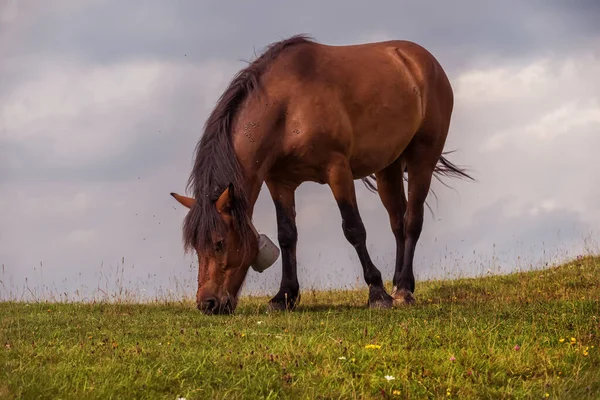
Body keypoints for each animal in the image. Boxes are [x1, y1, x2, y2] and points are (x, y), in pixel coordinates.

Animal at [170, 34, 474, 314]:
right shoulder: (280, 182)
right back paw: (400, 282)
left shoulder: (337, 170)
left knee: (412, 221)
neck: (288, 106)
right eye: (196, 246)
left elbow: (354, 229)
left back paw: (402, 291)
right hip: (388, 167)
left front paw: (377, 293)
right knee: (397, 222)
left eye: (219, 243)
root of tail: (421, 60)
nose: (208, 304)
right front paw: (284, 296)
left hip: (423, 158)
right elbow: (287, 235)